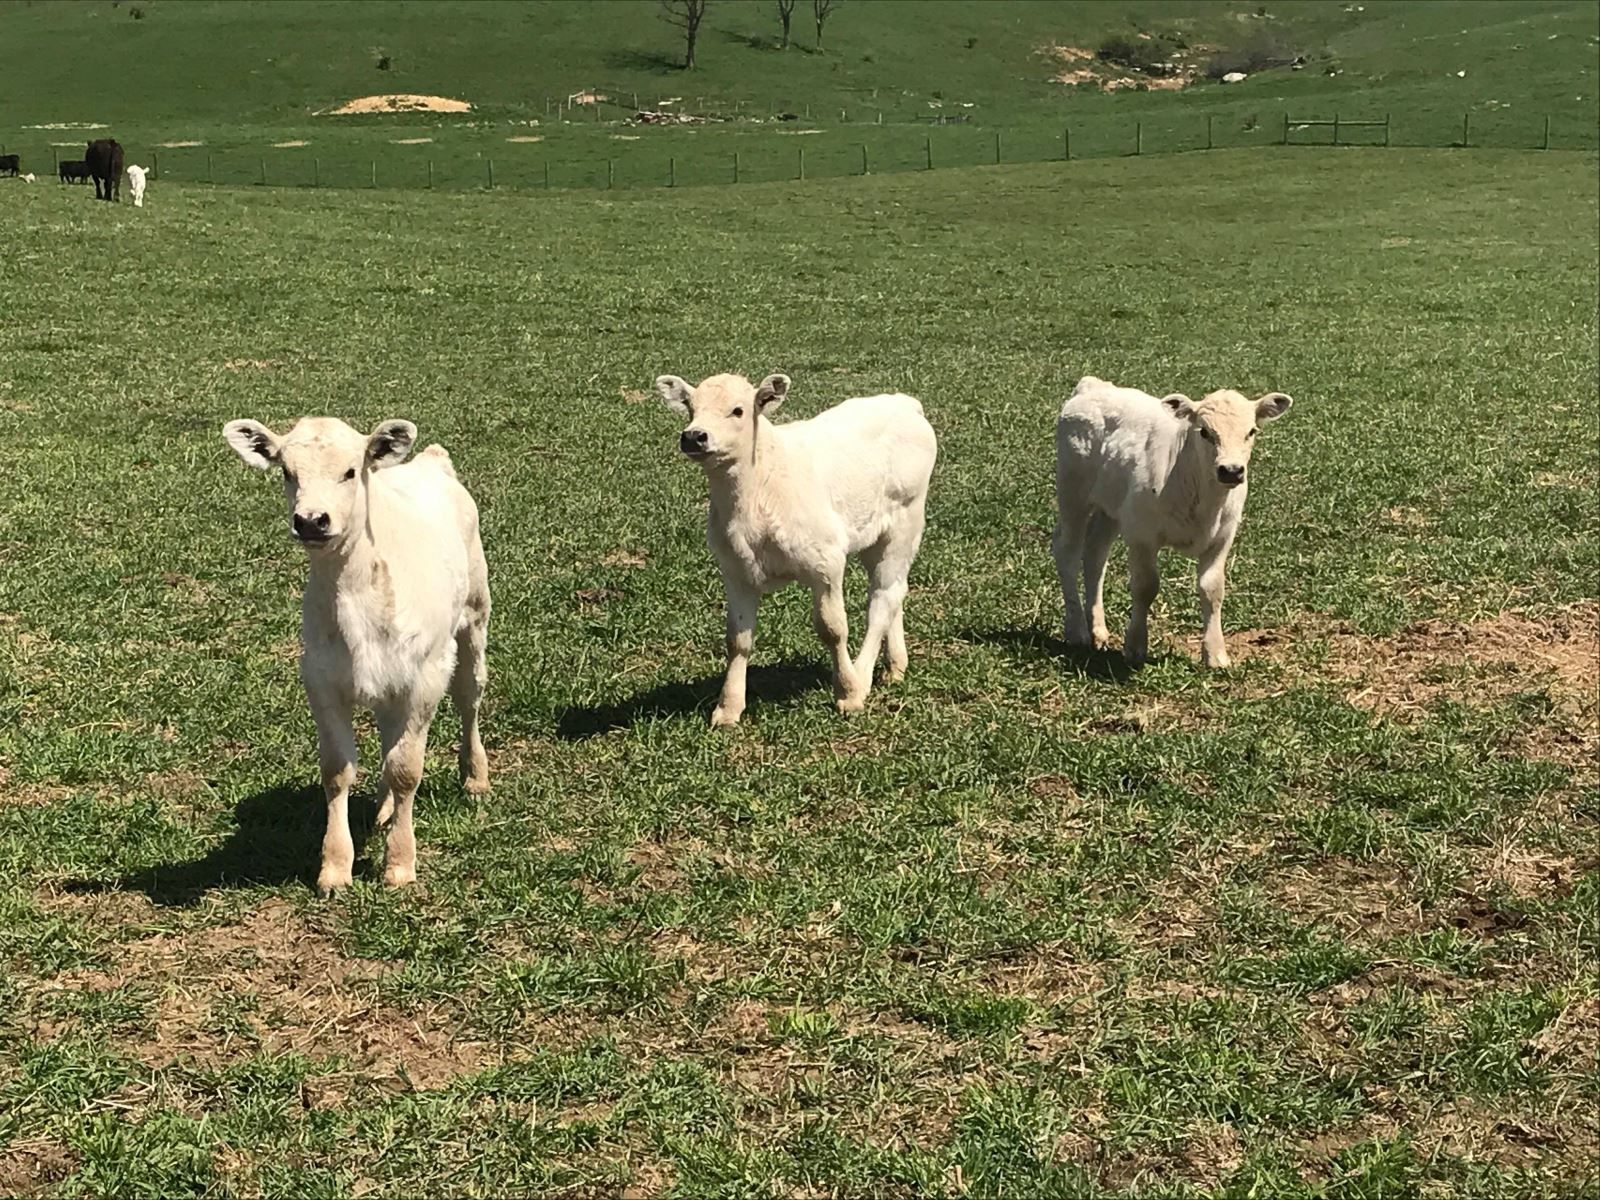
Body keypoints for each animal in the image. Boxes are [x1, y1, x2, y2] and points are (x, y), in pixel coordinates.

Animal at [222, 416, 491, 894]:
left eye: (350, 471)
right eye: (286, 472)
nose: (311, 520)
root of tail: (430, 461)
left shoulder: (424, 678)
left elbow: (407, 768)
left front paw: (400, 864)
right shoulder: (321, 679)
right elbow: (337, 770)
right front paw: (335, 867)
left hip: (475, 614)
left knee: (469, 698)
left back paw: (475, 777)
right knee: (388, 734)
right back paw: (384, 809)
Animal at [655, 371, 937, 726]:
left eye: (738, 410)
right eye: (690, 408)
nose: (694, 436)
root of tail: (903, 402)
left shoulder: (827, 562)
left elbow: (832, 629)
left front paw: (847, 693)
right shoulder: (735, 571)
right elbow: (737, 639)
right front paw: (728, 707)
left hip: (906, 519)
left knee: (882, 598)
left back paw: (861, 676)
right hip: (872, 534)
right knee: (894, 590)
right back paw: (895, 665)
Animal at [1053, 375, 1293, 668]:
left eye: (1251, 431)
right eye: (1204, 432)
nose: (1231, 471)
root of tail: (1092, 385)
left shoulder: (1222, 537)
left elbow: (1212, 589)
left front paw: (1216, 654)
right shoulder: (1142, 535)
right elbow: (1145, 587)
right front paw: (1136, 646)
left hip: (1110, 509)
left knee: (1095, 556)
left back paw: (1098, 630)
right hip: (1072, 495)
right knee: (1068, 552)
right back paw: (1077, 630)